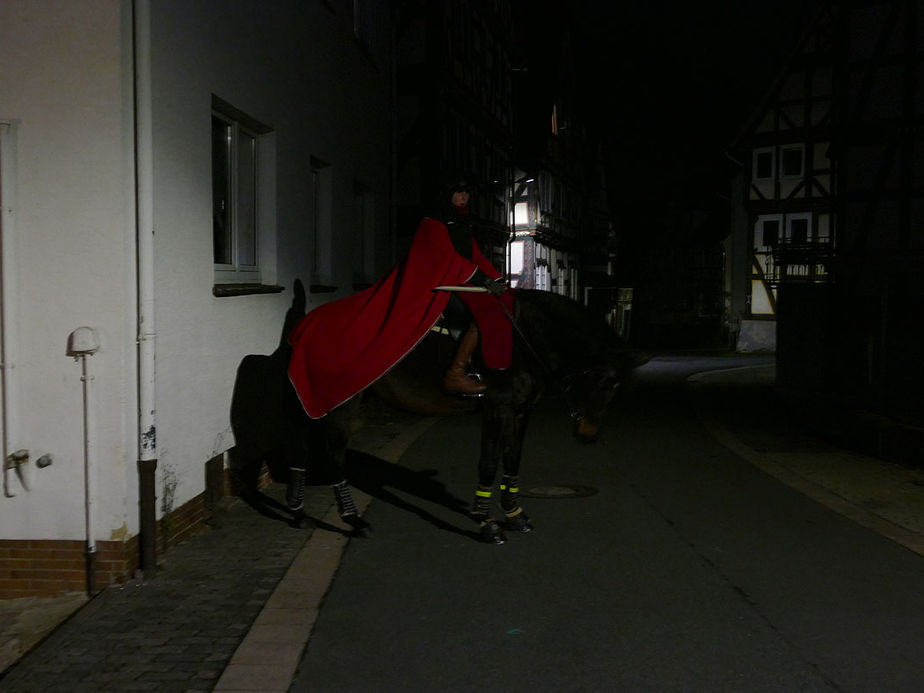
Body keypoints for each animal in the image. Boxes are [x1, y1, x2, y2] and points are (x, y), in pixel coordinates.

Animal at [231, 278, 648, 544]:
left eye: (616, 386)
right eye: (597, 378)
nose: (589, 434)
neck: (525, 338)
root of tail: (307, 322)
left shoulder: (520, 411)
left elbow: (513, 460)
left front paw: (514, 515)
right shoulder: (496, 408)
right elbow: (488, 464)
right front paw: (486, 524)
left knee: (300, 447)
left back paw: (299, 512)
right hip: (342, 403)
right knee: (333, 454)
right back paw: (351, 519)